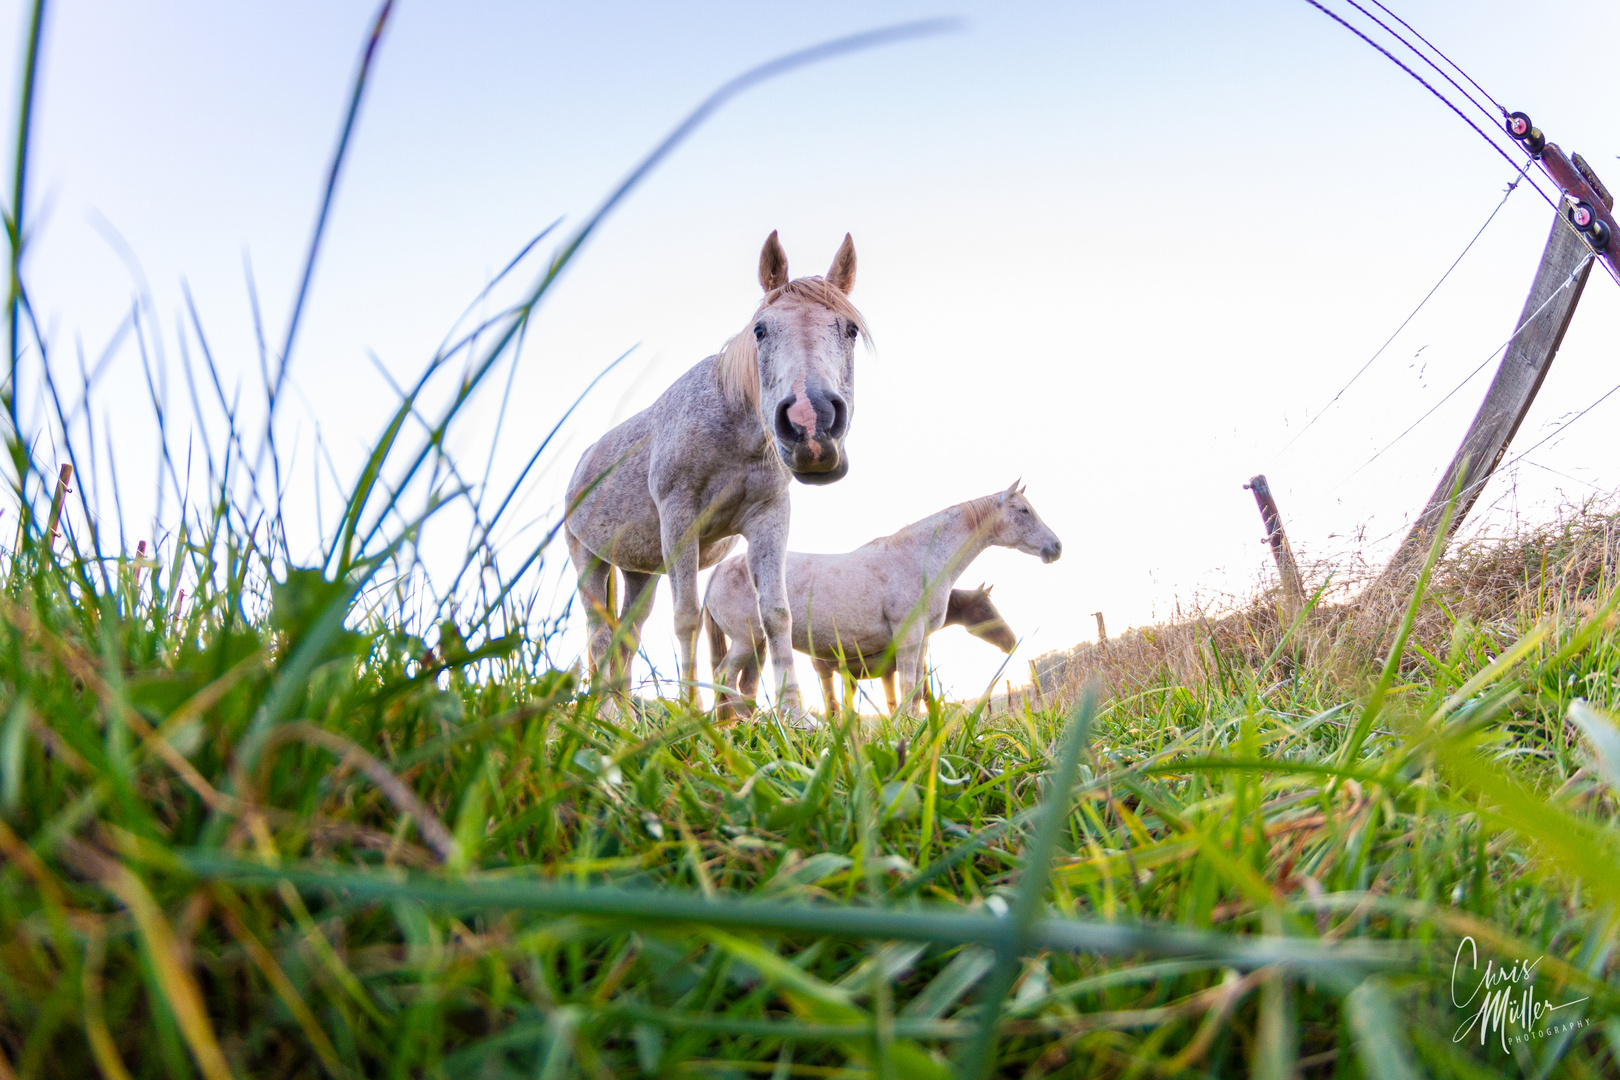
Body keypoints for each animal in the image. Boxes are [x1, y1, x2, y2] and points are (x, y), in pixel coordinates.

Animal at [567, 233, 868, 712]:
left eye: (850, 329)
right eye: (761, 330)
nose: (811, 422)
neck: (734, 432)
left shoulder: (769, 518)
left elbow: (776, 613)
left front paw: (793, 714)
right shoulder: (679, 524)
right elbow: (687, 618)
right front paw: (691, 711)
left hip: (639, 572)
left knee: (626, 637)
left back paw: (625, 717)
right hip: (588, 559)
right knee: (599, 638)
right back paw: (610, 712)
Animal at [699, 485, 1056, 712]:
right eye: (1024, 510)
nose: (1056, 547)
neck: (917, 557)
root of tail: (717, 572)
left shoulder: (920, 640)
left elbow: (915, 691)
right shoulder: (908, 638)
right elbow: (908, 687)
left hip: (759, 645)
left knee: (745, 686)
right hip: (745, 641)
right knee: (724, 678)